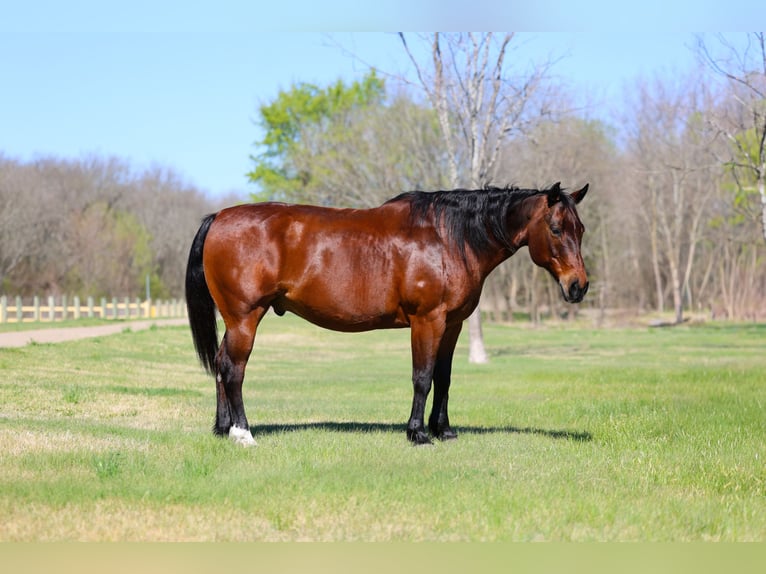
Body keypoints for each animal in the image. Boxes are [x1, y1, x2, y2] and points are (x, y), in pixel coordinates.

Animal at [185, 182, 589, 446]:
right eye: (556, 228)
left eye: (581, 229)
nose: (579, 286)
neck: (447, 238)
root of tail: (219, 217)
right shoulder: (427, 320)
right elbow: (422, 377)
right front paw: (418, 433)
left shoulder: (452, 324)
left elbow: (443, 378)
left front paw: (444, 430)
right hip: (245, 317)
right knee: (234, 370)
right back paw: (243, 433)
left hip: (236, 320)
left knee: (221, 364)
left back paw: (222, 428)